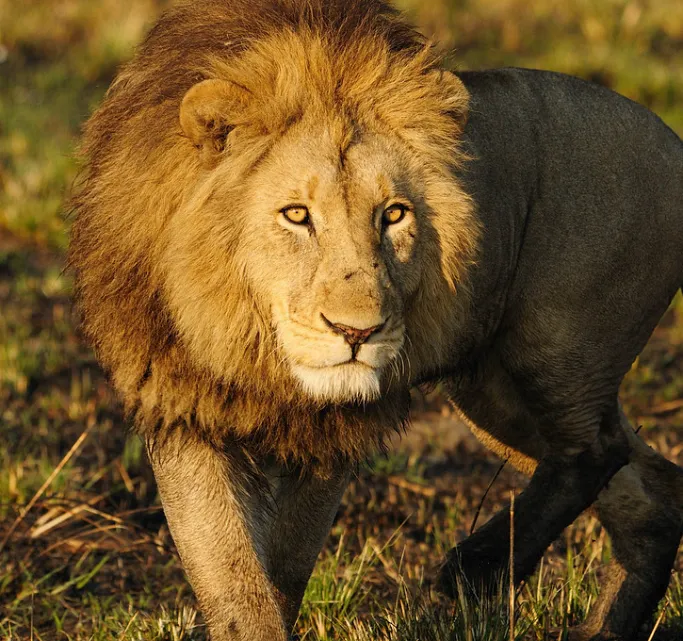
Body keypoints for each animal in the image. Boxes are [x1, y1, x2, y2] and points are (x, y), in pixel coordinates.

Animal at [68, 0, 683, 639]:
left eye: (393, 214)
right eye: (296, 215)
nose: (356, 333)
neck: (251, 345)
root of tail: (670, 137)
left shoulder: (334, 432)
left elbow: (285, 563)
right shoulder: (181, 405)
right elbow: (231, 575)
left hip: (558, 347)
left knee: (596, 450)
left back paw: (476, 566)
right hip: (498, 393)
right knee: (653, 491)